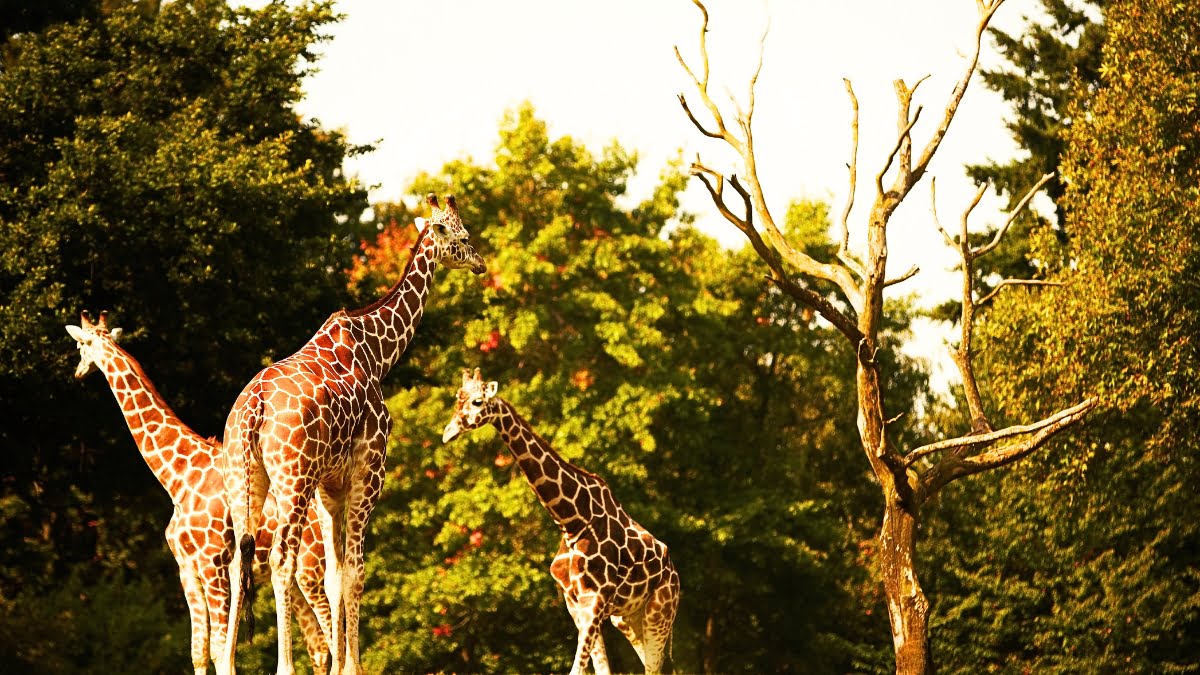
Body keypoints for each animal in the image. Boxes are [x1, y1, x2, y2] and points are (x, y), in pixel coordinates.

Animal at [65, 310, 333, 674]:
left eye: (82, 345)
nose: (78, 372)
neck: (177, 477)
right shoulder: (187, 569)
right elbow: (199, 651)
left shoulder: (213, 563)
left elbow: (222, 652)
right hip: (292, 580)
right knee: (318, 646)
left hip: (310, 571)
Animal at [219, 194, 487, 675]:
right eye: (462, 236)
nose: (480, 262)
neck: (378, 352)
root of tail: (254, 409)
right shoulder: (368, 471)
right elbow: (356, 572)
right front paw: (353, 667)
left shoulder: (330, 488)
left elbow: (334, 575)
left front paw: (342, 664)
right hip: (293, 480)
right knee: (281, 559)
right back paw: (284, 666)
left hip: (244, 477)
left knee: (236, 562)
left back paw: (228, 664)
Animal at [441, 368, 681, 675]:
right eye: (457, 399)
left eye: (477, 402)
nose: (448, 433)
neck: (572, 521)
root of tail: (674, 573)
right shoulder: (575, 603)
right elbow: (598, 669)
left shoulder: (595, 601)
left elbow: (577, 669)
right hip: (629, 619)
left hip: (659, 612)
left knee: (654, 667)